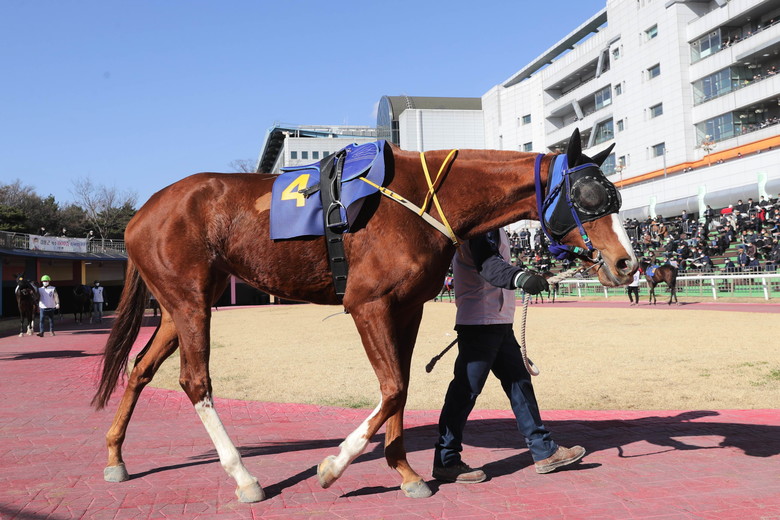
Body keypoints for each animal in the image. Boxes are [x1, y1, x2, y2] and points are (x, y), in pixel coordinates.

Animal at [92, 128, 637, 503]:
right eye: (591, 196)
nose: (626, 264)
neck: (421, 199)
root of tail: (143, 211)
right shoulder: (366, 303)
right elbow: (391, 387)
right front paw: (333, 466)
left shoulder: (407, 307)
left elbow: (400, 387)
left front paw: (408, 474)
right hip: (189, 302)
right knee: (195, 381)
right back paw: (245, 477)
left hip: (176, 308)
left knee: (140, 369)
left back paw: (116, 456)